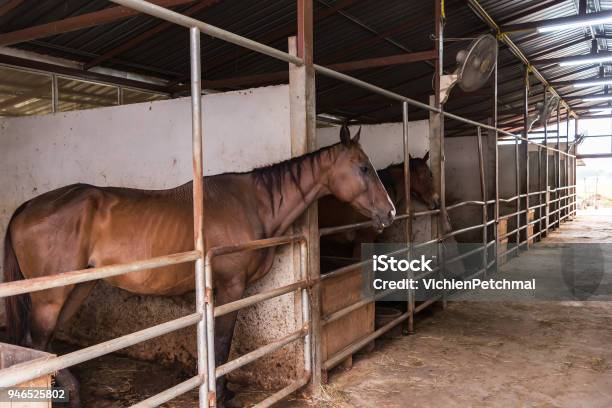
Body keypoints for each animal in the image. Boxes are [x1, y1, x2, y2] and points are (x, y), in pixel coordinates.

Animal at [2, 126, 394, 406]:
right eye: (363, 167)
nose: (389, 212)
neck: (253, 205)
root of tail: (27, 207)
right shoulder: (231, 286)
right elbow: (220, 341)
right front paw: (220, 393)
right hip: (51, 297)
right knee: (36, 341)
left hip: (77, 289)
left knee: (45, 343)